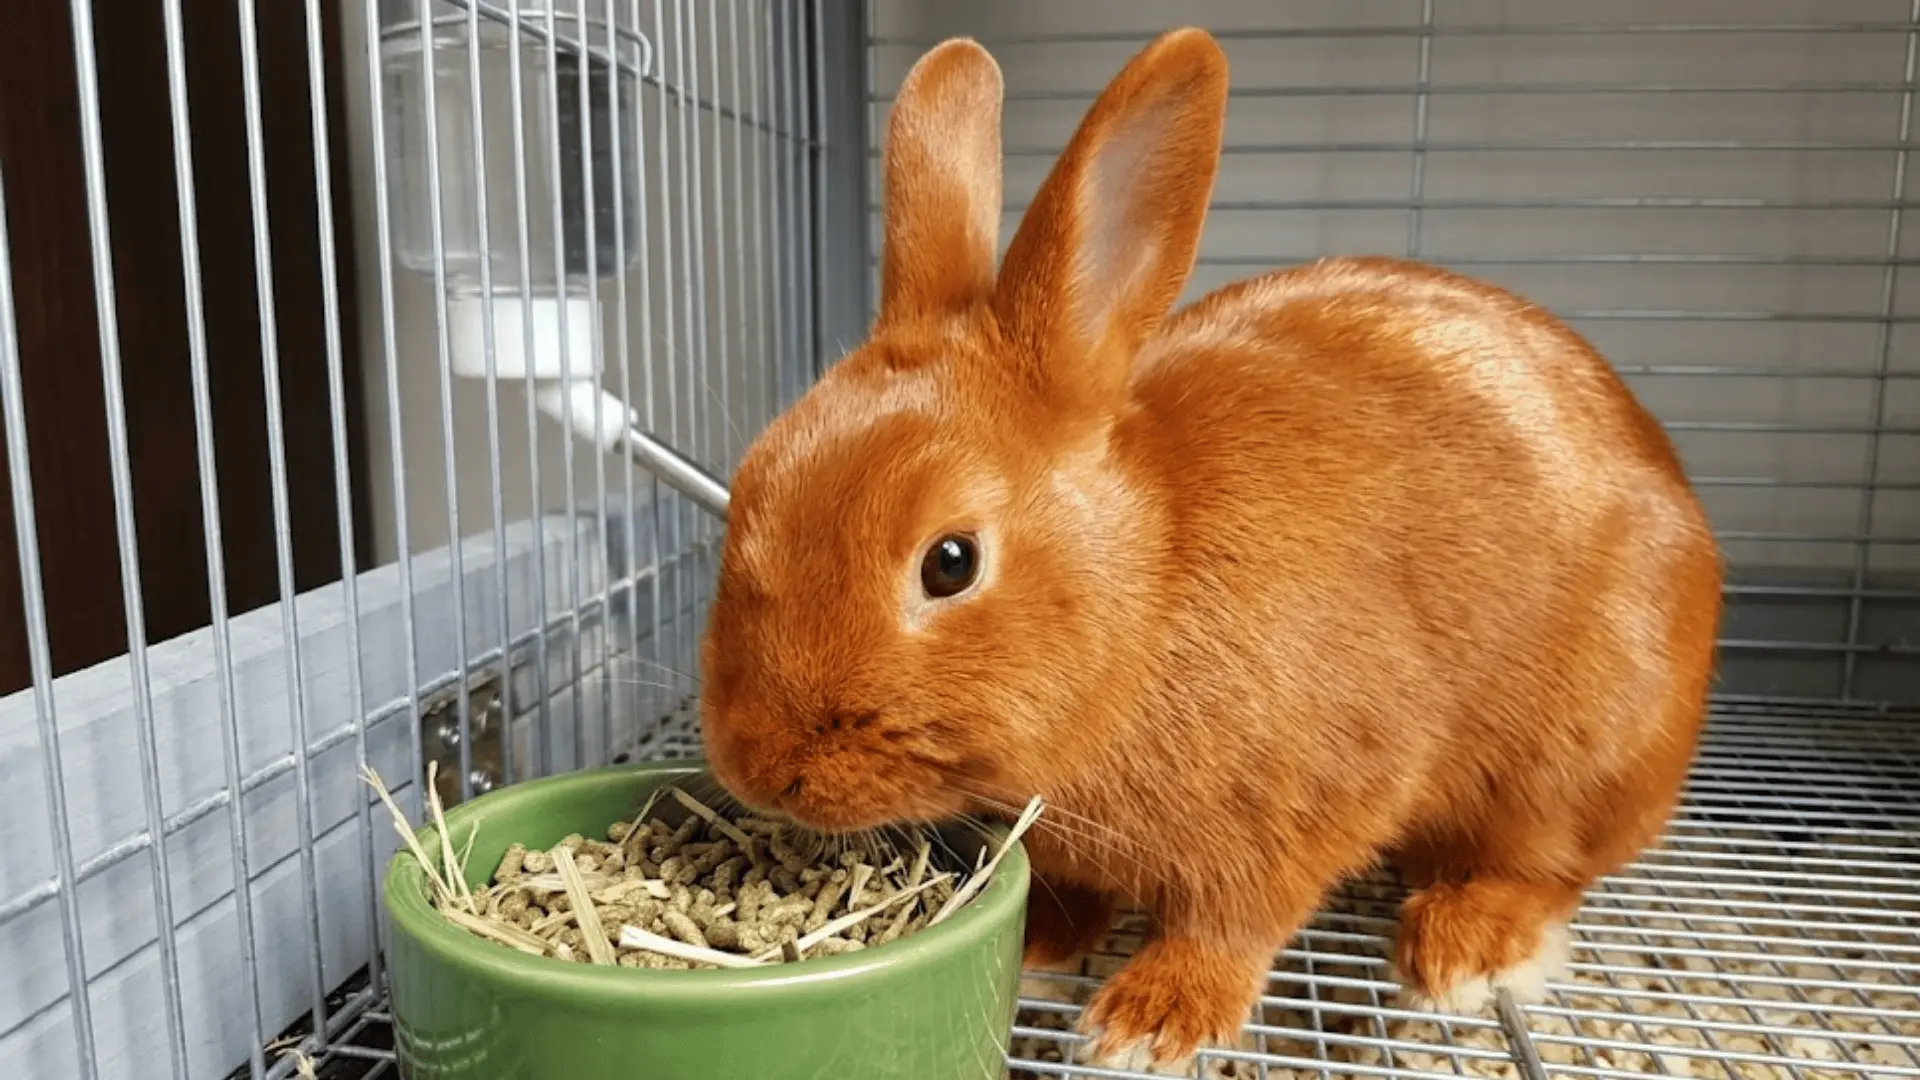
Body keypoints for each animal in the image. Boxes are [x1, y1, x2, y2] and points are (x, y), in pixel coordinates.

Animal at [697, 26, 1723, 1074]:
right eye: (749, 486)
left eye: (951, 562)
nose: (757, 766)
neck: (1149, 584)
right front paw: (1044, 948)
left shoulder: (1311, 801)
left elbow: (1232, 921)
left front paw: (1149, 1021)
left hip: (1577, 755)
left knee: (1549, 864)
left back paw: (1466, 948)